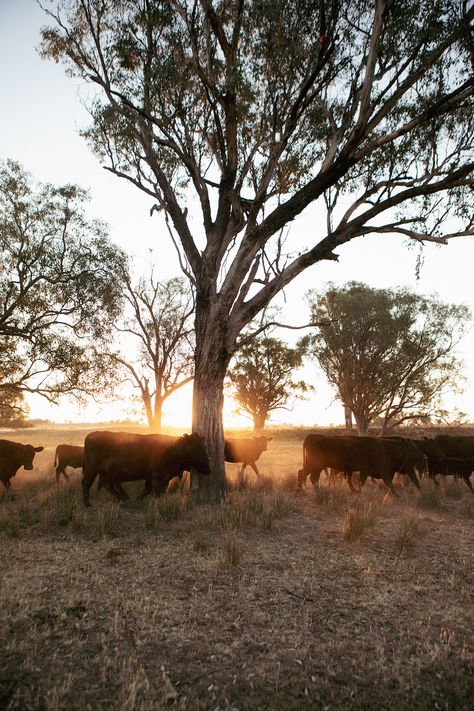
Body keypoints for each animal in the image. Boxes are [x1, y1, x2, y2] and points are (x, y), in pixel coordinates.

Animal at [82, 432, 210, 508]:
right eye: (196, 447)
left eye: (204, 446)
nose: (208, 465)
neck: (174, 449)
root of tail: (91, 435)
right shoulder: (156, 477)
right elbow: (156, 492)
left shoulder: (159, 478)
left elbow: (150, 490)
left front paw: (138, 499)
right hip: (91, 470)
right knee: (86, 483)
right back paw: (87, 504)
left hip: (106, 473)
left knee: (108, 485)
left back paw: (124, 498)